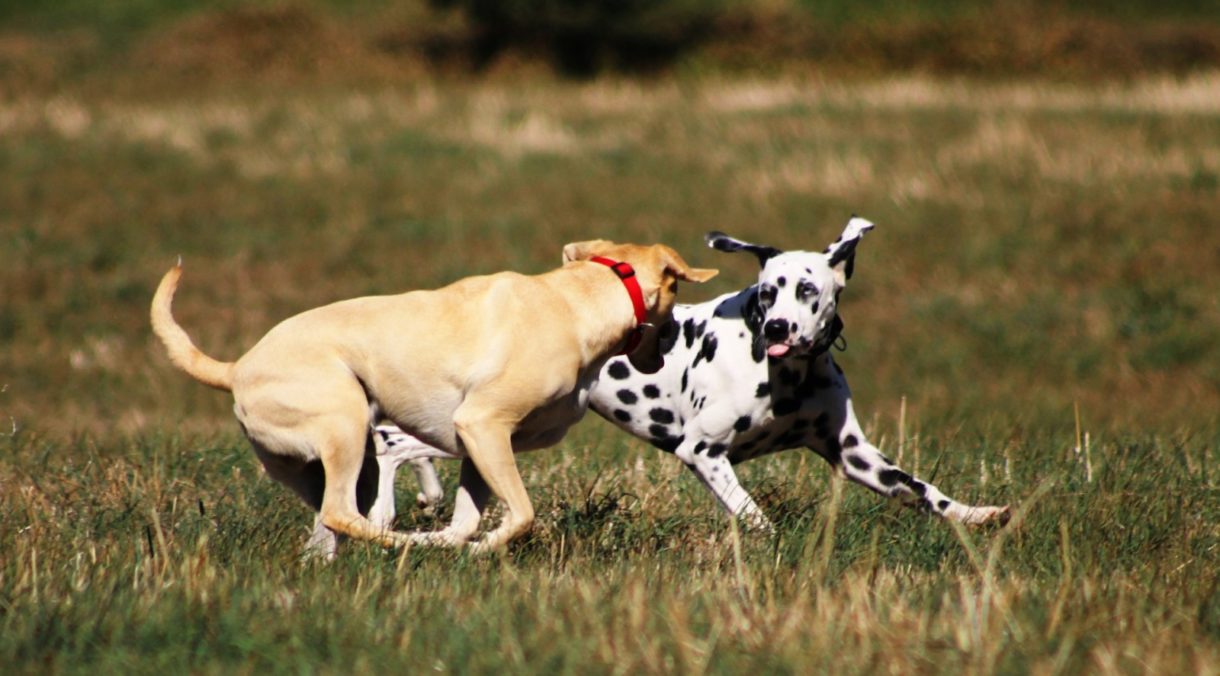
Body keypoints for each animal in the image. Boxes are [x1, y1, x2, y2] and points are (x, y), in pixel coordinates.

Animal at [314, 217, 1010, 551]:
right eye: (767, 291)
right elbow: (752, 515)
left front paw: (978, 515)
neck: (784, 372)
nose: (778, 325)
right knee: (391, 445)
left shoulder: (854, 455)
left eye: (809, 289)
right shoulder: (702, 451)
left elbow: (922, 491)